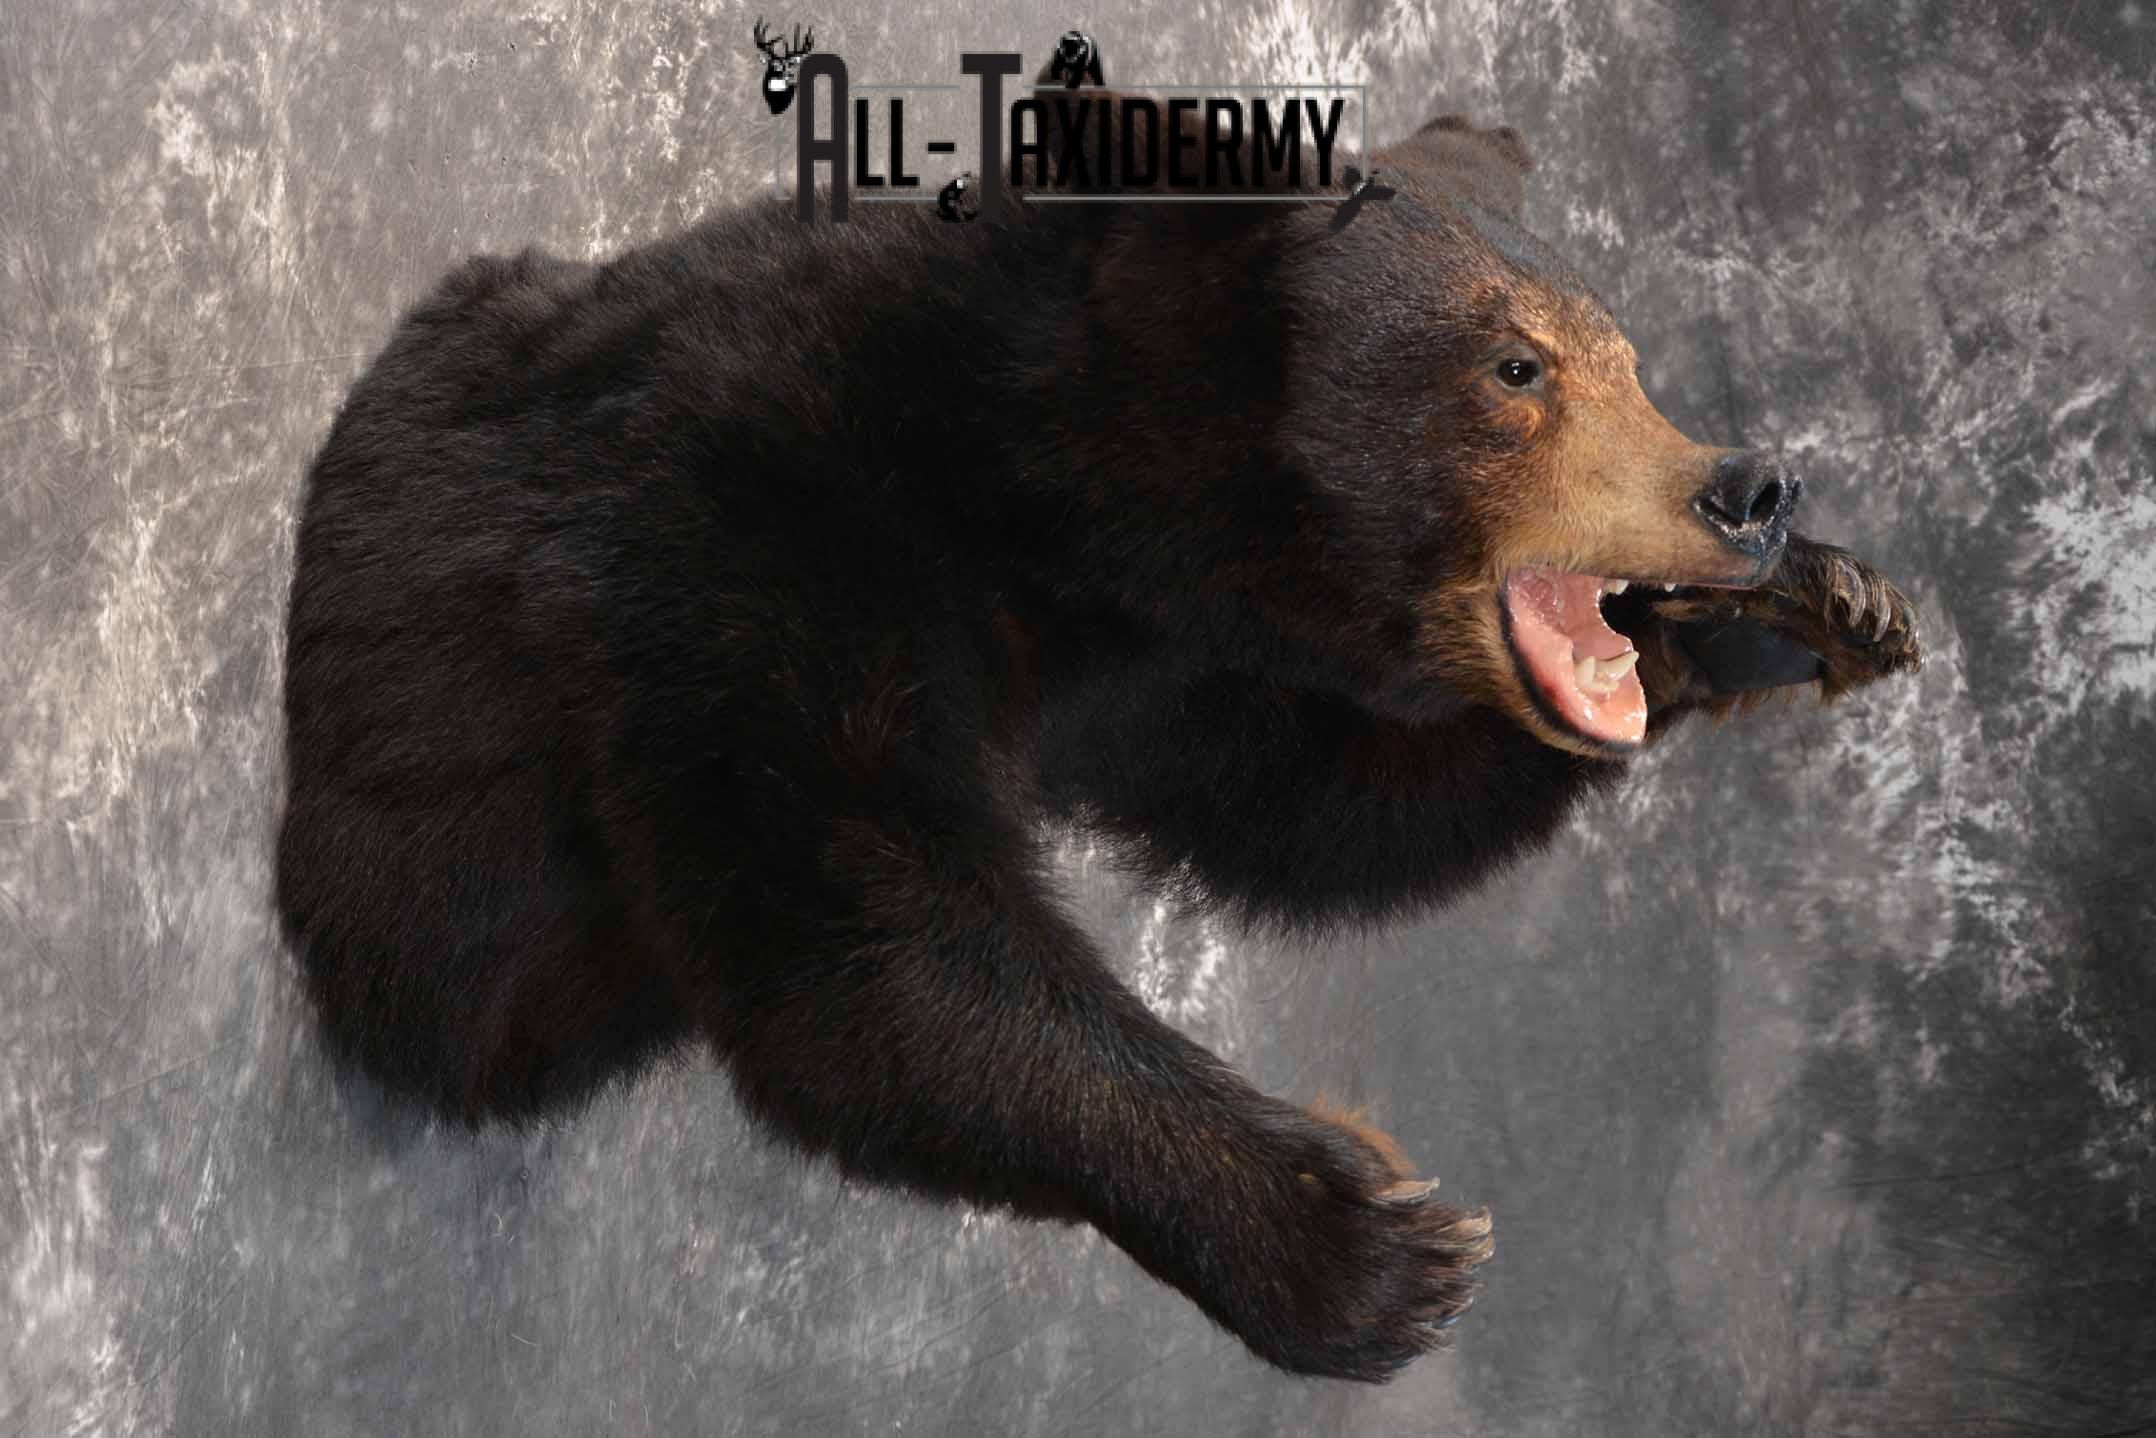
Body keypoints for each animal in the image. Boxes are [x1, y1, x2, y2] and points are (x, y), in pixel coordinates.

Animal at [275, 67, 1921, 1383]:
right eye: (1516, 363)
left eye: (1625, 353)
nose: (1747, 487)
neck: (1040, 505)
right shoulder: (746, 535)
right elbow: (862, 923)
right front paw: (1366, 1239)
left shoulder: (1152, 678)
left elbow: (1322, 805)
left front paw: (1811, 609)